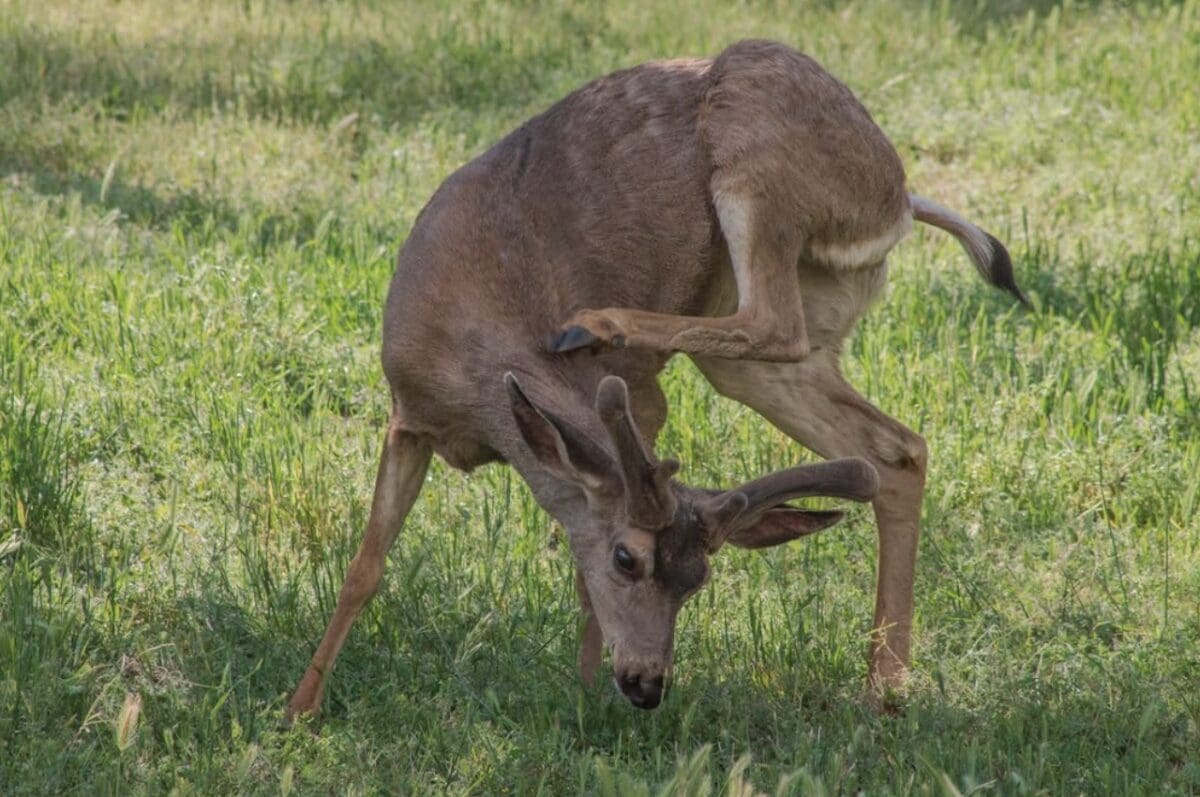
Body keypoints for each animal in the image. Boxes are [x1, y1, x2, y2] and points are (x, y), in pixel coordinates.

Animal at [286, 39, 1027, 718]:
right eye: (628, 559)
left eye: (698, 579)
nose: (647, 685)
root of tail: (898, 196)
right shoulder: (407, 413)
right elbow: (366, 566)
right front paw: (300, 706)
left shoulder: (640, 400)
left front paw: (585, 697)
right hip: (782, 341)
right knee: (894, 448)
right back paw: (884, 687)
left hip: (754, 150)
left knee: (774, 321)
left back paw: (592, 322)